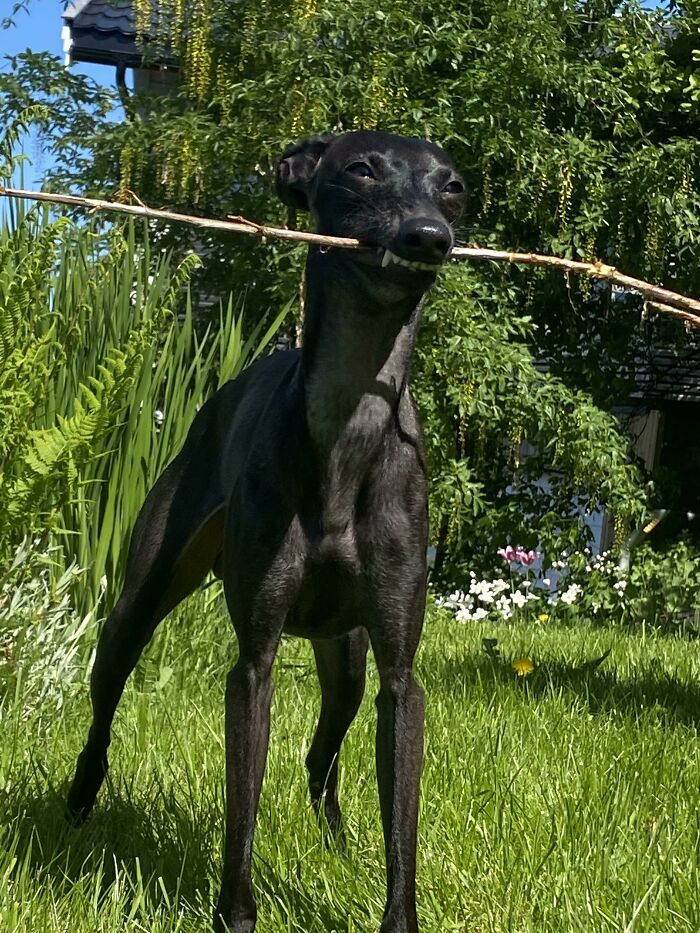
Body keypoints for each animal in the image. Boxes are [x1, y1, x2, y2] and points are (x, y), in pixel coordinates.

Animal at [67, 127, 464, 928]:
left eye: (454, 186)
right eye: (361, 168)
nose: (429, 236)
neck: (348, 428)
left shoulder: (399, 676)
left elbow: (400, 821)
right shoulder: (254, 662)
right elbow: (240, 809)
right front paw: (237, 914)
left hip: (346, 660)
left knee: (322, 756)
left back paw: (336, 842)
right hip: (140, 600)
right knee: (106, 701)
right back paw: (80, 798)